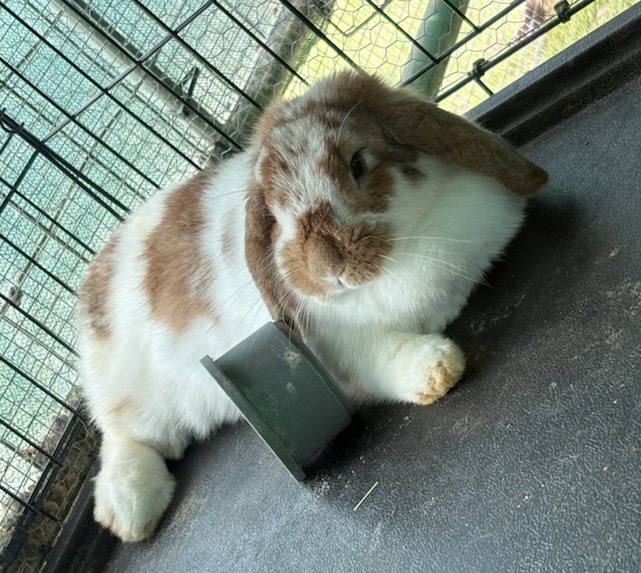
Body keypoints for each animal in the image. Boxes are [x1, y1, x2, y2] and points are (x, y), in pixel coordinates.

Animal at [77, 71, 548, 542]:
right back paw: (129, 511)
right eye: (273, 211)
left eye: (358, 163)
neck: (401, 261)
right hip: (141, 399)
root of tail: (90, 284)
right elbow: (382, 354)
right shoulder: (340, 350)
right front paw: (435, 369)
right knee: (125, 438)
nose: (326, 266)